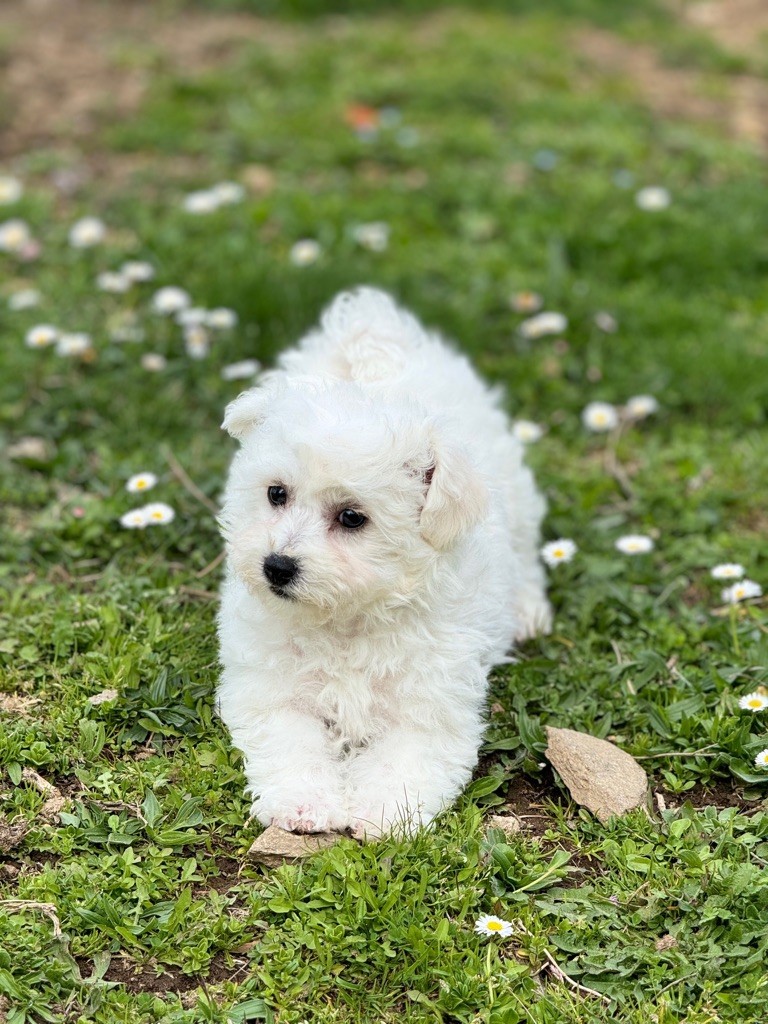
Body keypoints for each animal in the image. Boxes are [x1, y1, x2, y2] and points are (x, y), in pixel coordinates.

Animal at [217, 288, 550, 837]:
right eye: (276, 493)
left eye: (352, 518)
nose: (276, 567)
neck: (348, 618)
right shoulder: (272, 688)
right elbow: (292, 742)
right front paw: (304, 803)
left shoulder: (430, 703)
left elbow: (405, 760)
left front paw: (383, 813)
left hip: (517, 499)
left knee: (526, 555)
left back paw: (526, 611)